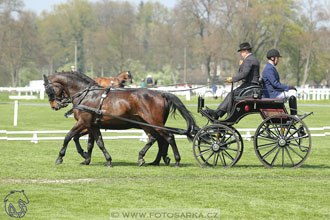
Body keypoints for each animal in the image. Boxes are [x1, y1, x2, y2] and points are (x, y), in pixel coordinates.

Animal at [42, 72, 195, 167]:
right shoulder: (92, 125)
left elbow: (68, 137)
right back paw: (151, 159)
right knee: (157, 139)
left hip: (155, 123)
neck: (87, 95)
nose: (54, 105)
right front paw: (94, 159)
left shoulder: (83, 122)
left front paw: (60, 157)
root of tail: (161, 93)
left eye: (48, 89)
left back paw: (176, 160)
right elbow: (96, 143)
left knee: (168, 137)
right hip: (148, 124)